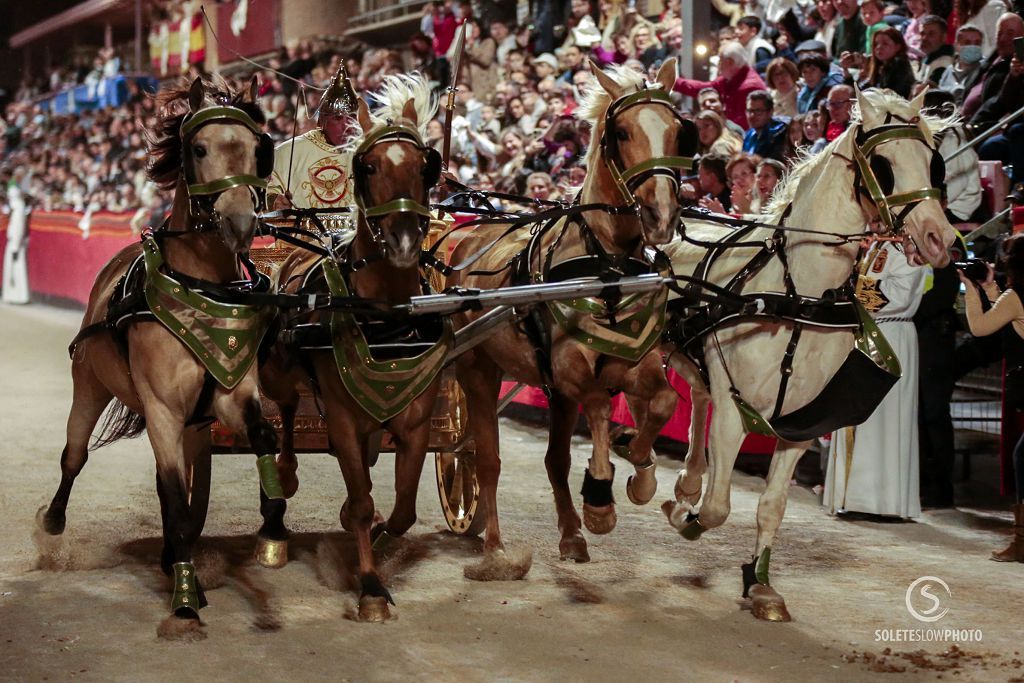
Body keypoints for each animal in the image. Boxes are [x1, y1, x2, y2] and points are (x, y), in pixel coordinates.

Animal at [37, 77, 282, 638]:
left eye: (258, 149)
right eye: (198, 149)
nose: (239, 221)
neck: (202, 286)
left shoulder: (231, 394)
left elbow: (262, 437)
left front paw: (274, 518)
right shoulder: (163, 409)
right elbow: (171, 493)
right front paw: (186, 599)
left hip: (193, 425)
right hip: (90, 385)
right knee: (74, 456)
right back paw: (54, 523)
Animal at [256, 72, 444, 622]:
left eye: (426, 165)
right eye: (368, 165)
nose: (403, 240)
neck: (384, 317)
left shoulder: (416, 416)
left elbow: (403, 507)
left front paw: (380, 539)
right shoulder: (339, 416)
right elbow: (361, 500)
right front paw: (371, 587)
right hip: (279, 375)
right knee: (285, 415)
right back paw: (279, 497)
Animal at [450, 60, 700, 577]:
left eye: (679, 131)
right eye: (621, 132)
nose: (661, 214)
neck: (606, 266)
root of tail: (468, 240)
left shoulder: (632, 361)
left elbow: (664, 402)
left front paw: (638, 468)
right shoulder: (570, 370)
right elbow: (602, 407)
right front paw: (601, 500)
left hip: (549, 389)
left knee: (553, 460)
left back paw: (569, 534)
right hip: (479, 371)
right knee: (486, 460)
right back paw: (495, 547)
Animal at [659, 88, 954, 622]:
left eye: (933, 163)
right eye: (884, 165)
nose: (939, 239)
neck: (796, 292)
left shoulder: (799, 423)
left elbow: (770, 506)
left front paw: (760, 585)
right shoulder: (737, 410)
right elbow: (716, 508)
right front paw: (682, 516)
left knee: (696, 395)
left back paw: (686, 481)